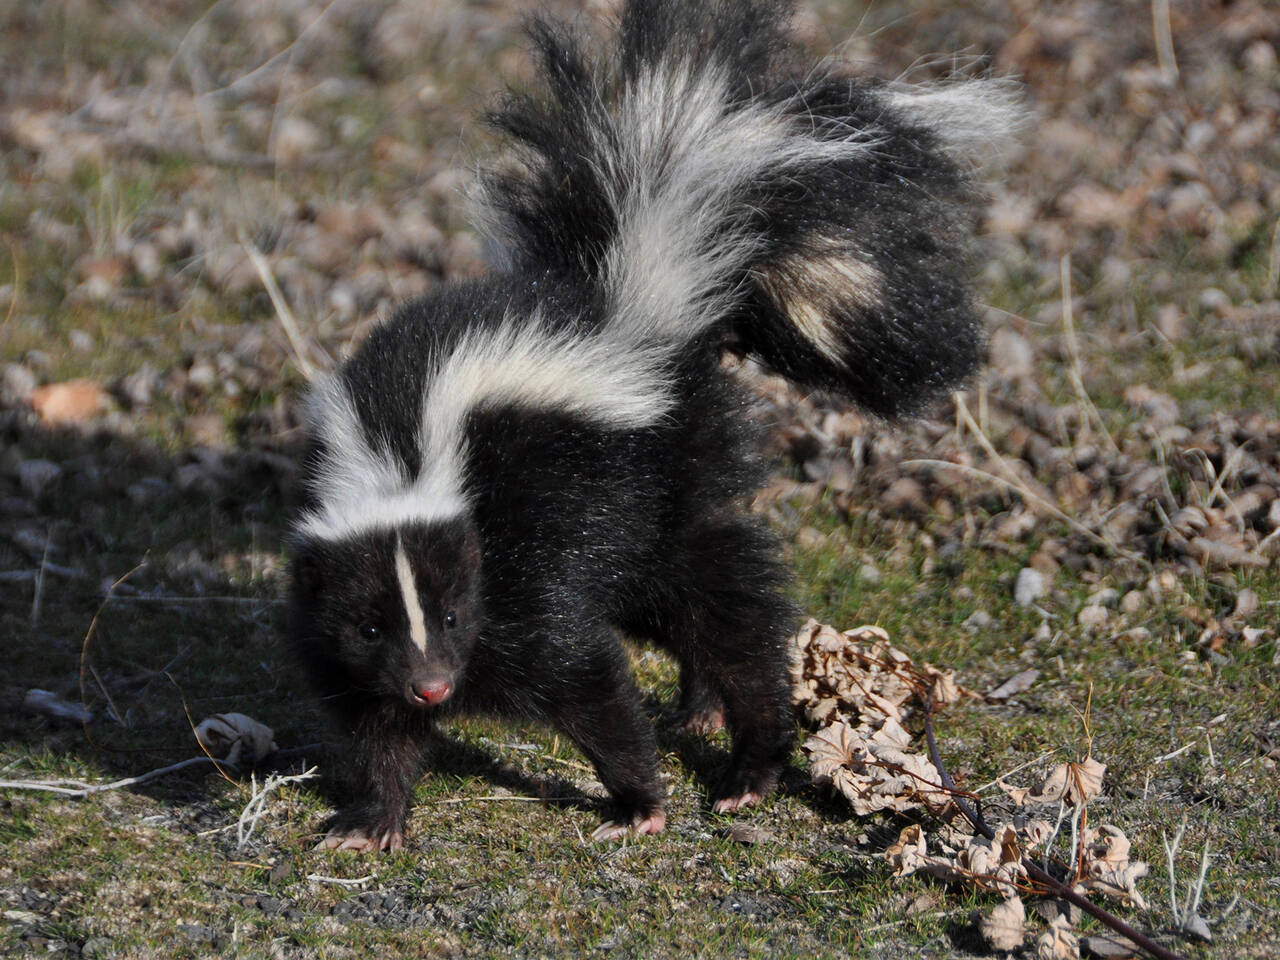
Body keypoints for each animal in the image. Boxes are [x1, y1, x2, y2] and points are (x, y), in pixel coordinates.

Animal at [290, 1, 1018, 855]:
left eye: (453, 614)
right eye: (370, 627)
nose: (433, 685)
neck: (401, 458)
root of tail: (640, 307)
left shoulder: (525, 562)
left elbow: (584, 677)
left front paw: (639, 800)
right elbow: (374, 723)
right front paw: (369, 821)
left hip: (662, 482)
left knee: (727, 611)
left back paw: (750, 762)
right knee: (683, 608)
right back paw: (698, 709)